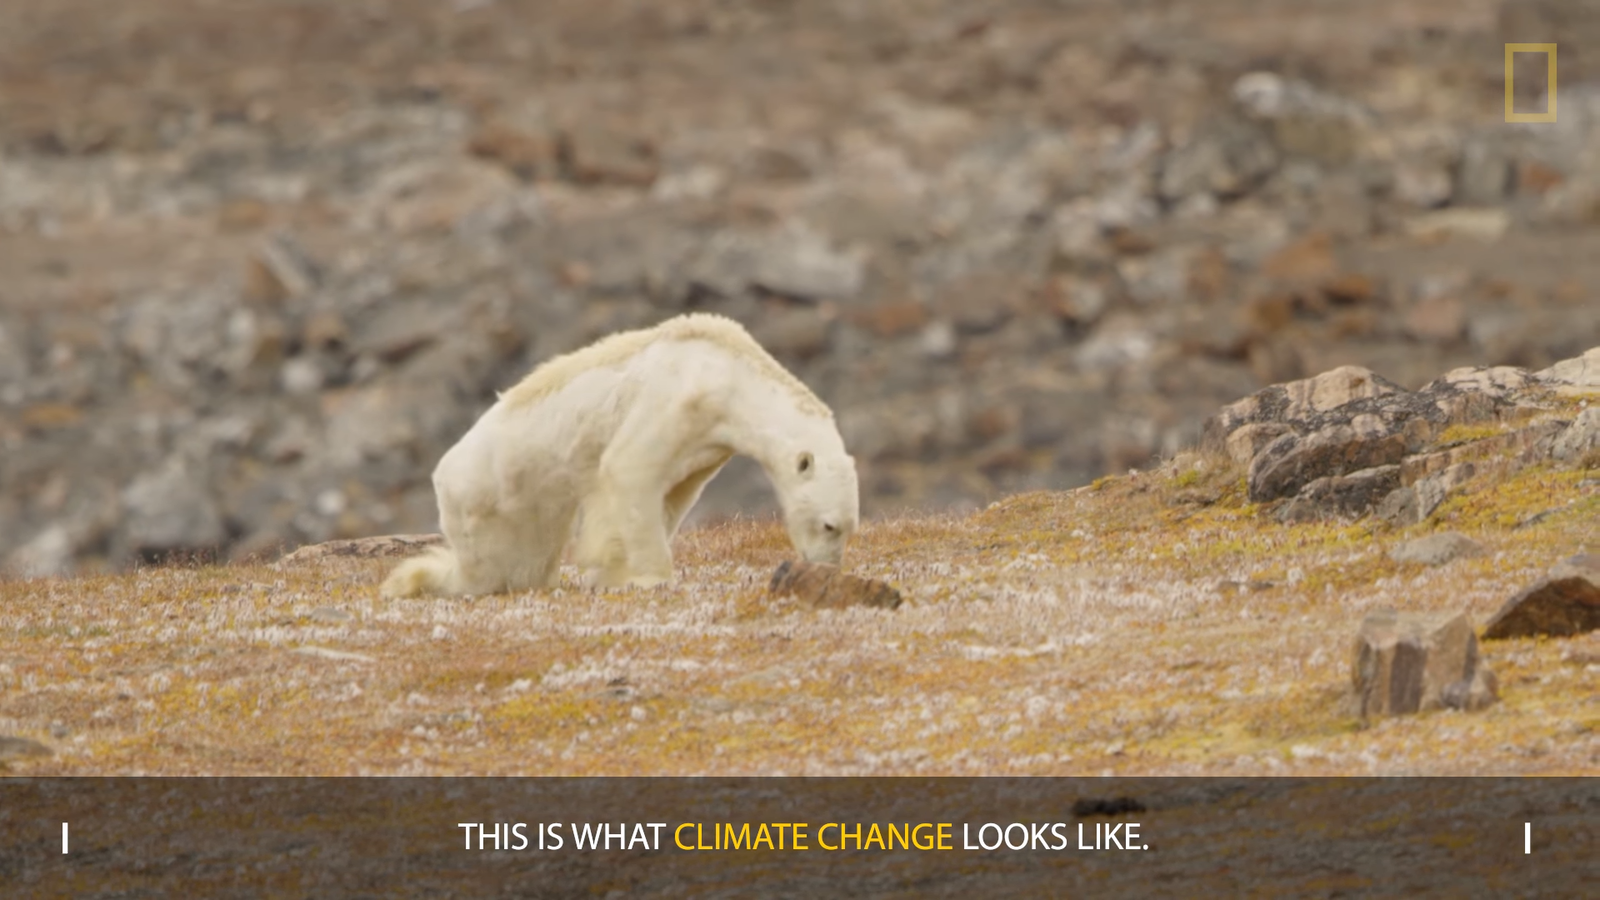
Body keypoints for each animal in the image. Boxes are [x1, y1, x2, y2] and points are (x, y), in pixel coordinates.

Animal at [380, 312, 859, 598]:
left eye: (849, 528)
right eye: (829, 525)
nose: (826, 570)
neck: (729, 374)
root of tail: (442, 474)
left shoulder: (706, 442)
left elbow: (673, 495)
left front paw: (610, 568)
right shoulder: (677, 399)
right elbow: (630, 469)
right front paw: (647, 576)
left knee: (526, 564)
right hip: (488, 500)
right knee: (489, 570)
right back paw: (412, 579)